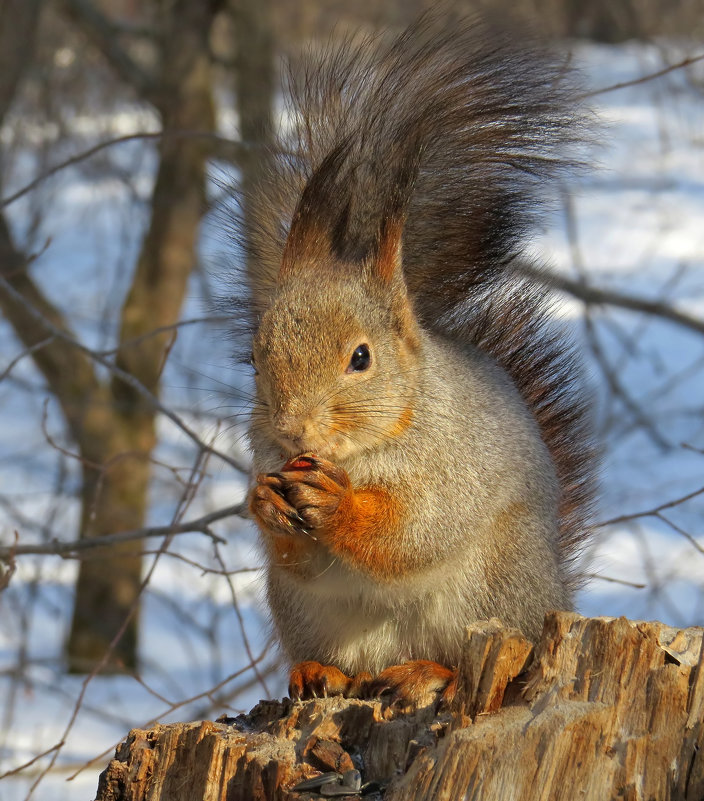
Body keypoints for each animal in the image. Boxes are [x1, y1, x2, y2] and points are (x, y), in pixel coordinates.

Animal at [241, 10, 592, 700]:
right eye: (255, 356)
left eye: (360, 358)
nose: (293, 429)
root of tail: (553, 596)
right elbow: (305, 559)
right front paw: (263, 502)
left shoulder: (455, 464)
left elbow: (414, 532)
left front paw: (340, 508)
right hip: (308, 615)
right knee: (340, 655)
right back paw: (321, 671)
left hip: (492, 590)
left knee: (465, 651)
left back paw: (432, 673)